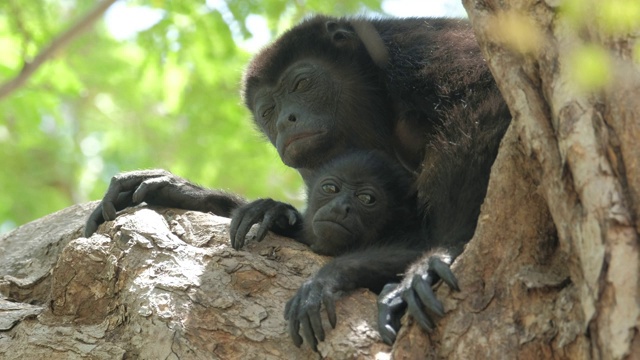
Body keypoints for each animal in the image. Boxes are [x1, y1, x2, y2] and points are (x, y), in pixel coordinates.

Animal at [86, 14, 510, 348]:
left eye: (302, 85)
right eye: (267, 111)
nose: (286, 121)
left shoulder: (421, 49)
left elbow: (484, 104)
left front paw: (443, 251)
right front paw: (203, 195)